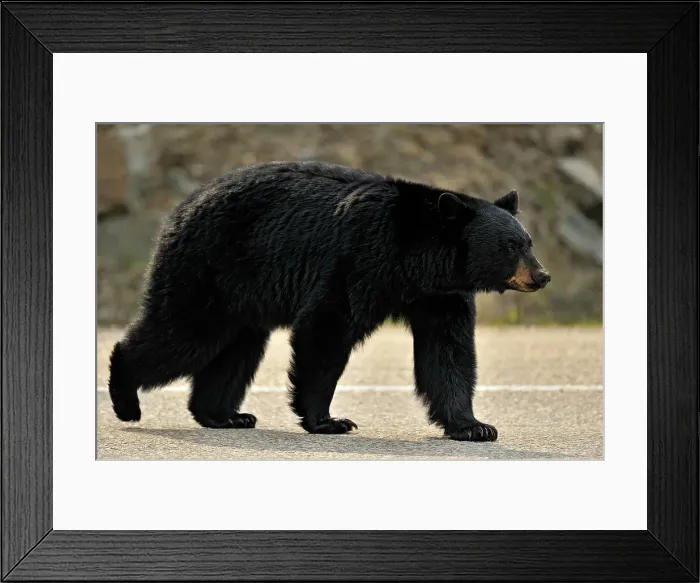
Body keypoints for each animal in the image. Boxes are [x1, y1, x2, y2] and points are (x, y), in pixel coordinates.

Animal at [108, 161, 550, 442]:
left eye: (528, 241)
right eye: (510, 245)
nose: (542, 275)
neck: (416, 259)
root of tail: (180, 208)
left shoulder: (440, 295)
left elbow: (447, 353)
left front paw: (474, 426)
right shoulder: (361, 259)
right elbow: (327, 328)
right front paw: (328, 420)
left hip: (240, 292)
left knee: (236, 348)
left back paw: (225, 415)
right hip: (209, 266)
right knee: (182, 334)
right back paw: (126, 399)